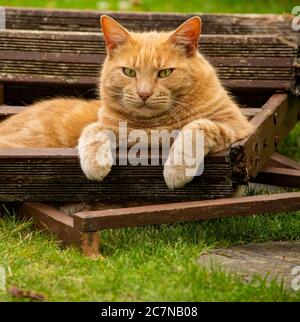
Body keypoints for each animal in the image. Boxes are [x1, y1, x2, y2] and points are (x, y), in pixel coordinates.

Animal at [0, 15, 252, 189]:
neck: (152, 126)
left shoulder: (237, 127)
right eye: (129, 72)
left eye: (164, 73)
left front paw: (177, 169)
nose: (144, 93)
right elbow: (94, 131)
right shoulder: (106, 124)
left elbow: (196, 127)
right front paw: (95, 164)